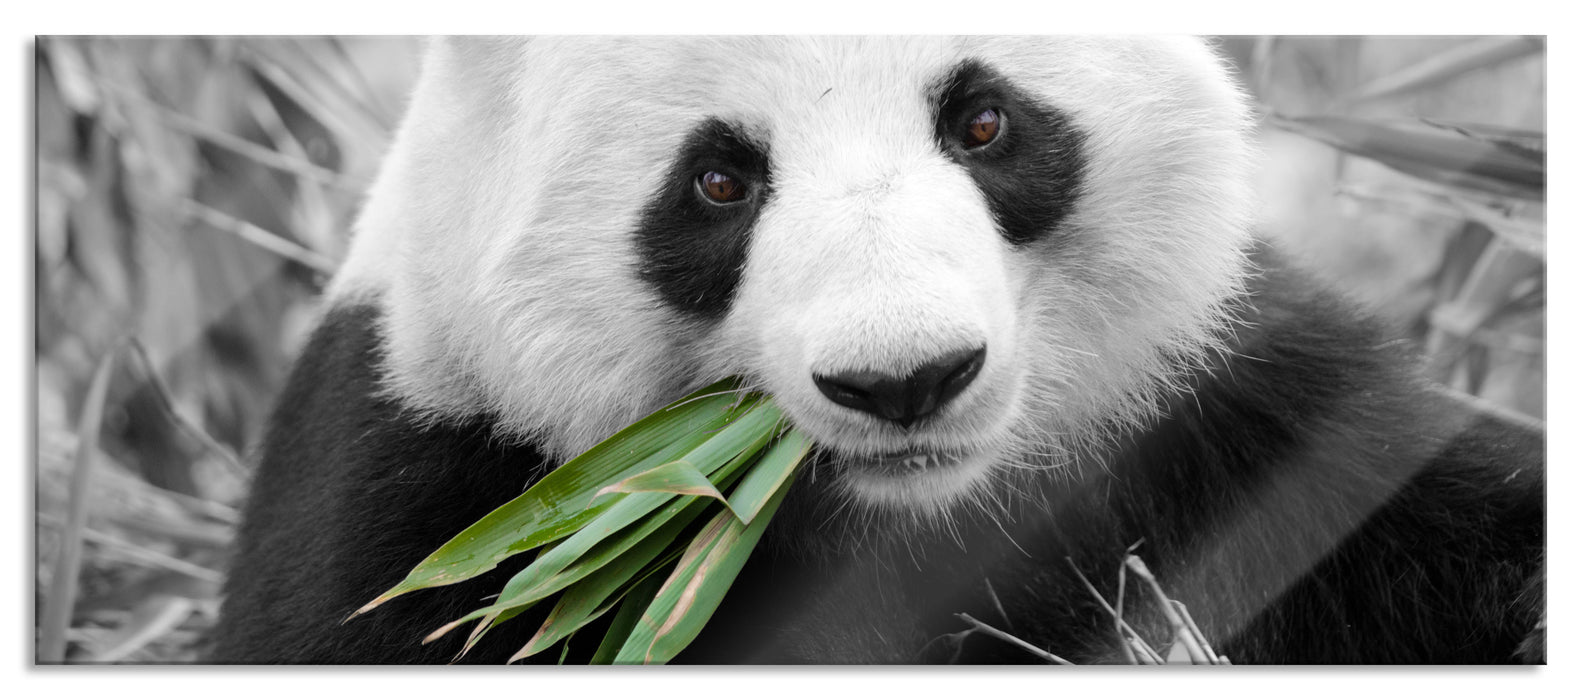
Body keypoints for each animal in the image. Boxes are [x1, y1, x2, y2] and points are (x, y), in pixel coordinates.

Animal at [208, 36, 1545, 664]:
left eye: (983, 120)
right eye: (719, 180)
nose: (907, 380)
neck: (908, 518)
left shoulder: (1227, 416)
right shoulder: (446, 502)